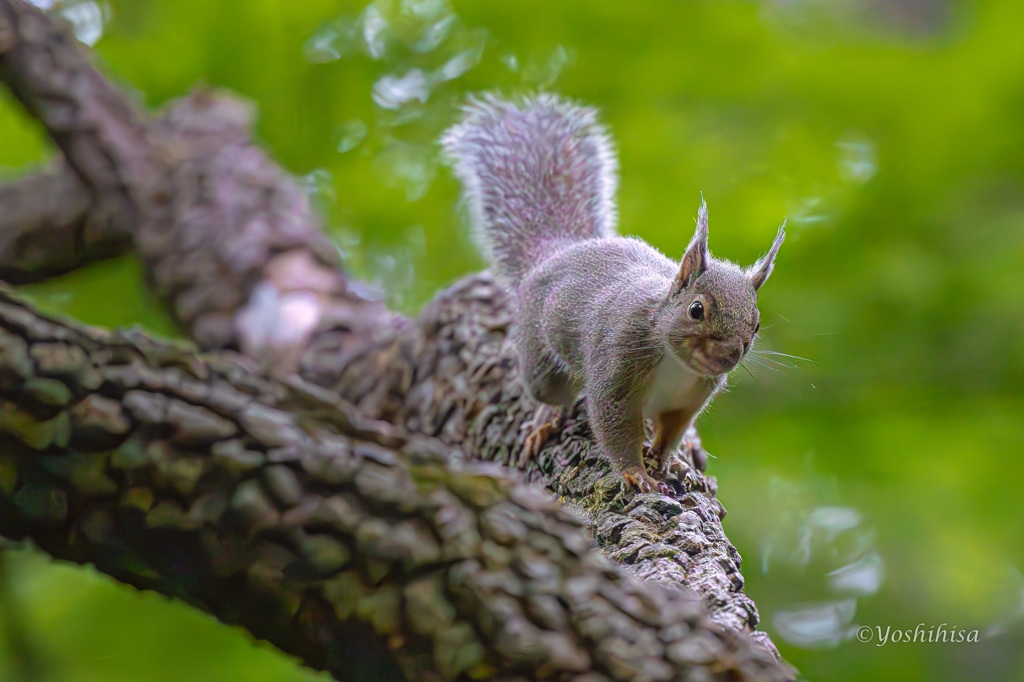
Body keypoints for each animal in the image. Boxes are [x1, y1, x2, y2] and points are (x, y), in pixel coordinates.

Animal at [440, 93, 782, 491]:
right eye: (696, 310)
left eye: (756, 325)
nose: (730, 354)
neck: (674, 359)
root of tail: (558, 252)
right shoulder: (617, 363)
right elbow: (614, 426)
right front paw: (637, 474)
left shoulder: (686, 401)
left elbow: (671, 432)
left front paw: (665, 460)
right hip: (541, 359)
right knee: (548, 392)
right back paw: (543, 419)